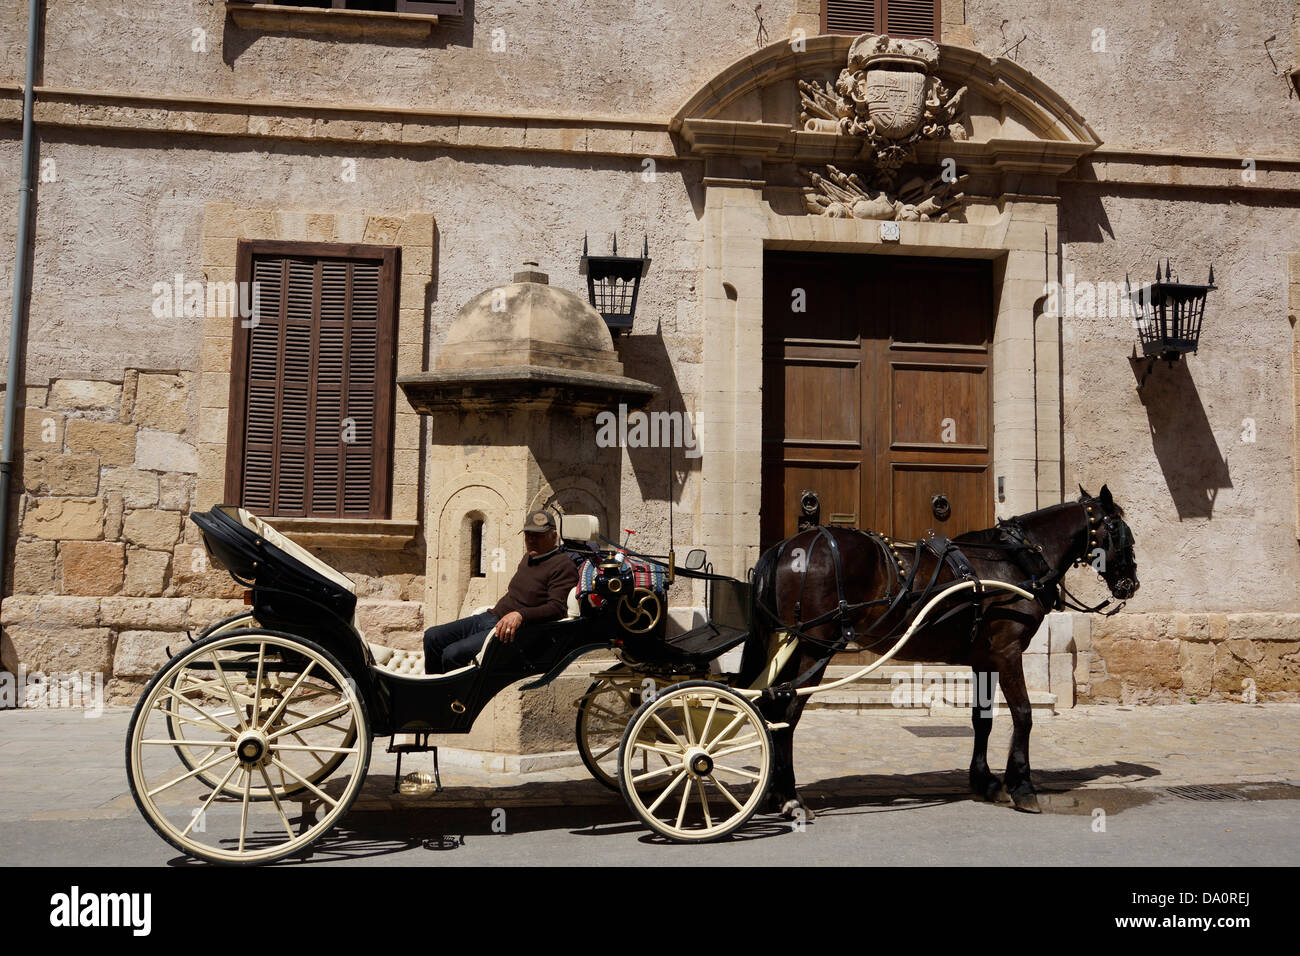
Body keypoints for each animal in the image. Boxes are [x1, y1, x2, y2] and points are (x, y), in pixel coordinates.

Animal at [743, 486, 1138, 816]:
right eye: (1121, 530)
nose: (1131, 584)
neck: (1016, 563)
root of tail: (787, 546)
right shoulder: (1008, 652)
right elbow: (1024, 714)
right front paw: (1022, 786)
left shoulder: (984, 660)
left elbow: (983, 719)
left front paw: (986, 781)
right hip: (814, 648)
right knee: (787, 713)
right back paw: (791, 798)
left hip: (792, 645)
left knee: (773, 709)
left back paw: (777, 793)